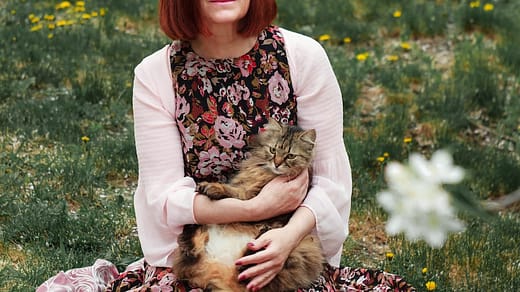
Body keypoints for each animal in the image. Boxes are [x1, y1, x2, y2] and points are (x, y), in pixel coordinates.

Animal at [173, 118, 322, 292]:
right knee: (192, 252)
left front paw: (214, 187)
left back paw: (259, 238)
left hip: (302, 248)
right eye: (273, 150)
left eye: (290, 156)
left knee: (243, 268)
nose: (277, 164)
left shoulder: (250, 195)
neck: (266, 173)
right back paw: (190, 229)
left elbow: (233, 192)